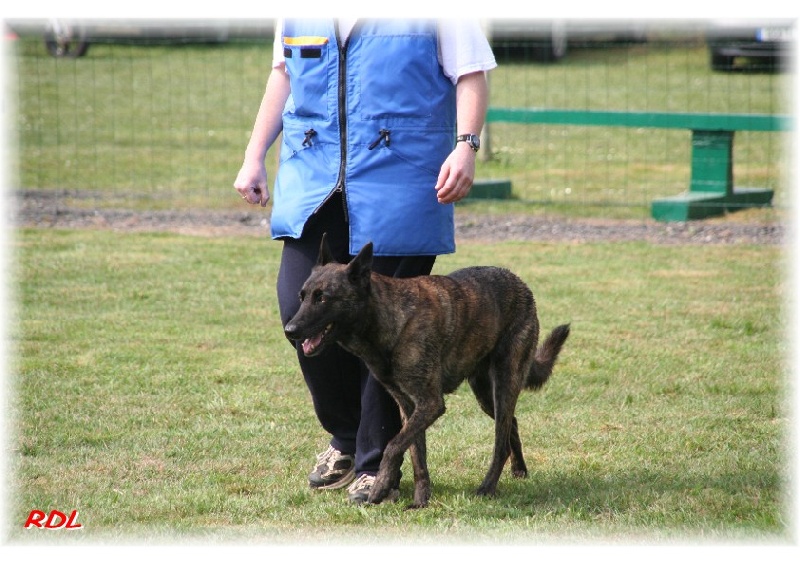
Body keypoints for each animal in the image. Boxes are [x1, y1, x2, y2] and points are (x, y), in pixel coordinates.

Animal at [284, 234, 572, 506]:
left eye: (323, 298)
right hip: (485, 394)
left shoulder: (430, 404)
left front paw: (379, 487)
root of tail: (521, 284)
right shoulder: (410, 407)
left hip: (504, 383)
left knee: (500, 442)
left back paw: (488, 487)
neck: (387, 319)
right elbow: (416, 455)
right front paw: (421, 500)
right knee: (512, 422)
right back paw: (519, 469)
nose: (290, 330)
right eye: (302, 296)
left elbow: (393, 445)